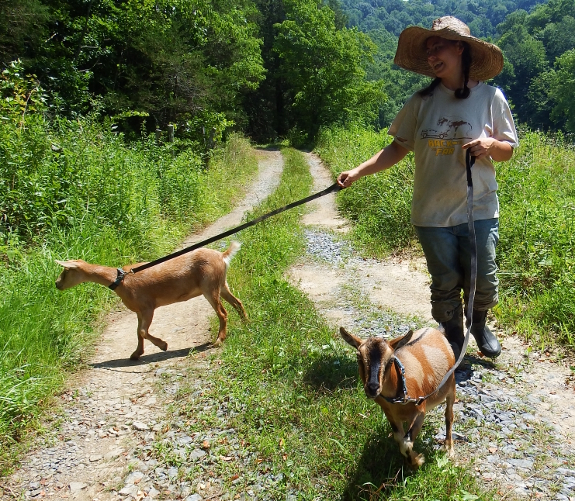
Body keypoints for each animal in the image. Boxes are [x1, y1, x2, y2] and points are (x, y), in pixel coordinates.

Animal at [55, 240, 249, 358]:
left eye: (66, 271)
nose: (57, 284)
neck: (121, 281)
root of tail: (222, 256)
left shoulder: (148, 306)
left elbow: (142, 331)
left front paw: (163, 345)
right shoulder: (139, 311)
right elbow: (137, 331)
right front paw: (136, 353)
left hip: (209, 287)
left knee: (223, 313)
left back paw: (219, 340)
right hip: (221, 284)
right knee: (237, 302)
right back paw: (246, 323)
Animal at [340, 326, 456, 466]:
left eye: (391, 360)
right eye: (358, 357)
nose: (373, 387)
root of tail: (434, 330)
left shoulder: (420, 410)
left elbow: (406, 443)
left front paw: (417, 461)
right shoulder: (390, 414)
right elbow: (400, 439)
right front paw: (411, 460)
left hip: (451, 386)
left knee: (449, 416)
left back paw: (449, 449)